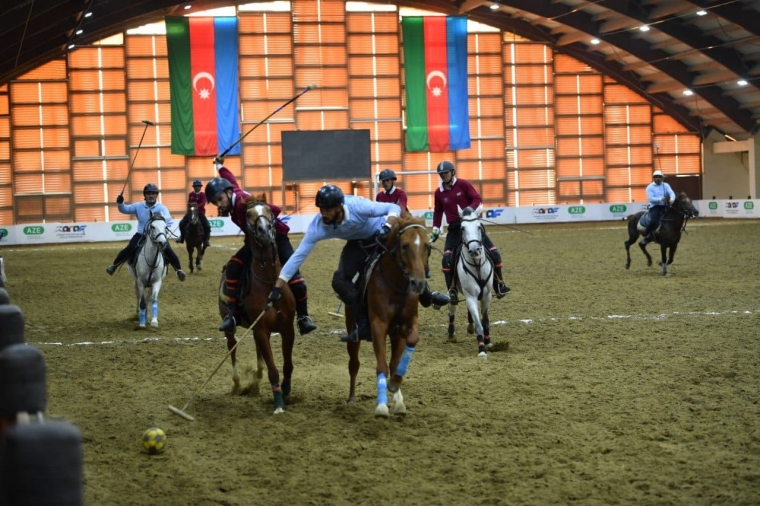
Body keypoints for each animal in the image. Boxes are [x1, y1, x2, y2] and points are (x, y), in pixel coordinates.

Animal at [217, 194, 296, 416]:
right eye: (248, 215)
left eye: (268, 210)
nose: (265, 231)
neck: (270, 281)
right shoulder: (261, 329)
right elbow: (273, 370)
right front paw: (278, 403)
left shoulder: (287, 328)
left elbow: (287, 364)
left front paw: (286, 390)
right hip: (231, 326)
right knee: (232, 346)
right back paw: (237, 384)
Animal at [342, 211, 428, 418]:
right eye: (404, 246)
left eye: (427, 246)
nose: (418, 283)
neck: (395, 285)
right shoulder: (378, 326)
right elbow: (380, 365)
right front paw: (381, 406)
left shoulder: (405, 326)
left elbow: (404, 352)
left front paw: (396, 389)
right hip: (352, 330)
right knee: (354, 364)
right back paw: (351, 399)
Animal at [448, 206, 496, 360]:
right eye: (462, 228)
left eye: (479, 226)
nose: (474, 250)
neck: (477, 265)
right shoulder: (471, 296)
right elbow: (479, 323)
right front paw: (481, 350)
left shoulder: (487, 295)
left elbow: (485, 320)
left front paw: (488, 342)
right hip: (455, 292)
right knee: (452, 305)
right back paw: (451, 334)